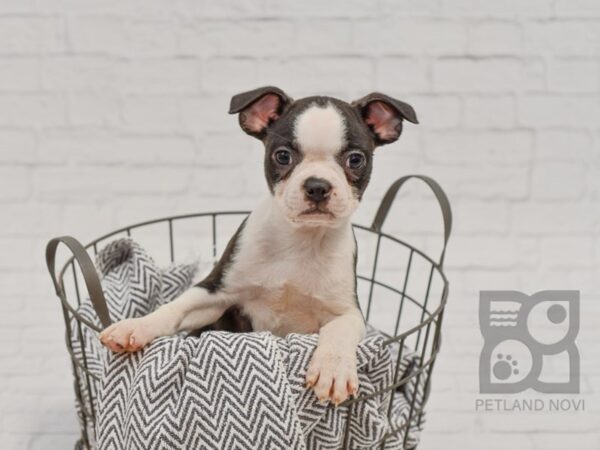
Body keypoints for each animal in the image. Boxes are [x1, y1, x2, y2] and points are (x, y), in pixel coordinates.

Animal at [98, 87, 418, 404]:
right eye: (283, 156)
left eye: (355, 160)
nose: (317, 185)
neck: (301, 238)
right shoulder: (216, 292)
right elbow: (175, 307)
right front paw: (136, 326)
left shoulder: (348, 310)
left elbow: (339, 330)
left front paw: (333, 369)